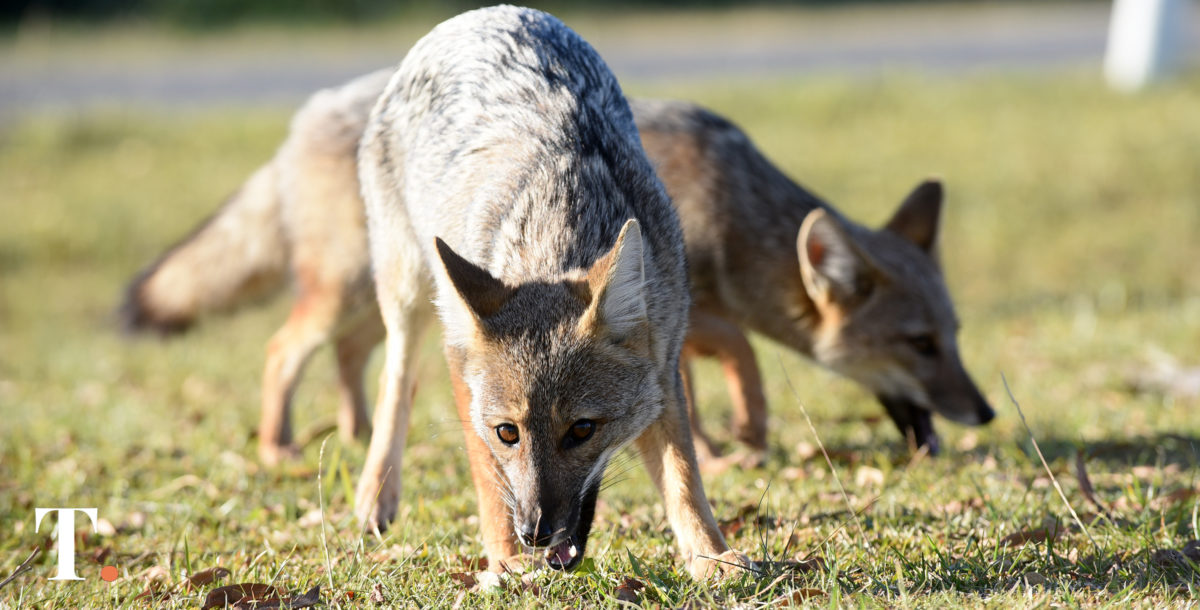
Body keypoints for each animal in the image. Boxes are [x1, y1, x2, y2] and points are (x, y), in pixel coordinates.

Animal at [123, 46, 993, 472]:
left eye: (954, 339)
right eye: (921, 345)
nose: (985, 414)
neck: (731, 202)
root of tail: (313, 110)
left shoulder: (658, 322)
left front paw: (718, 447)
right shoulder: (684, 311)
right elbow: (740, 356)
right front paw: (740, 438)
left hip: (389, 301)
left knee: (353, 359)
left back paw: (362, 431)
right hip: (350, 293)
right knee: (282, 350)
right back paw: (280, 446)